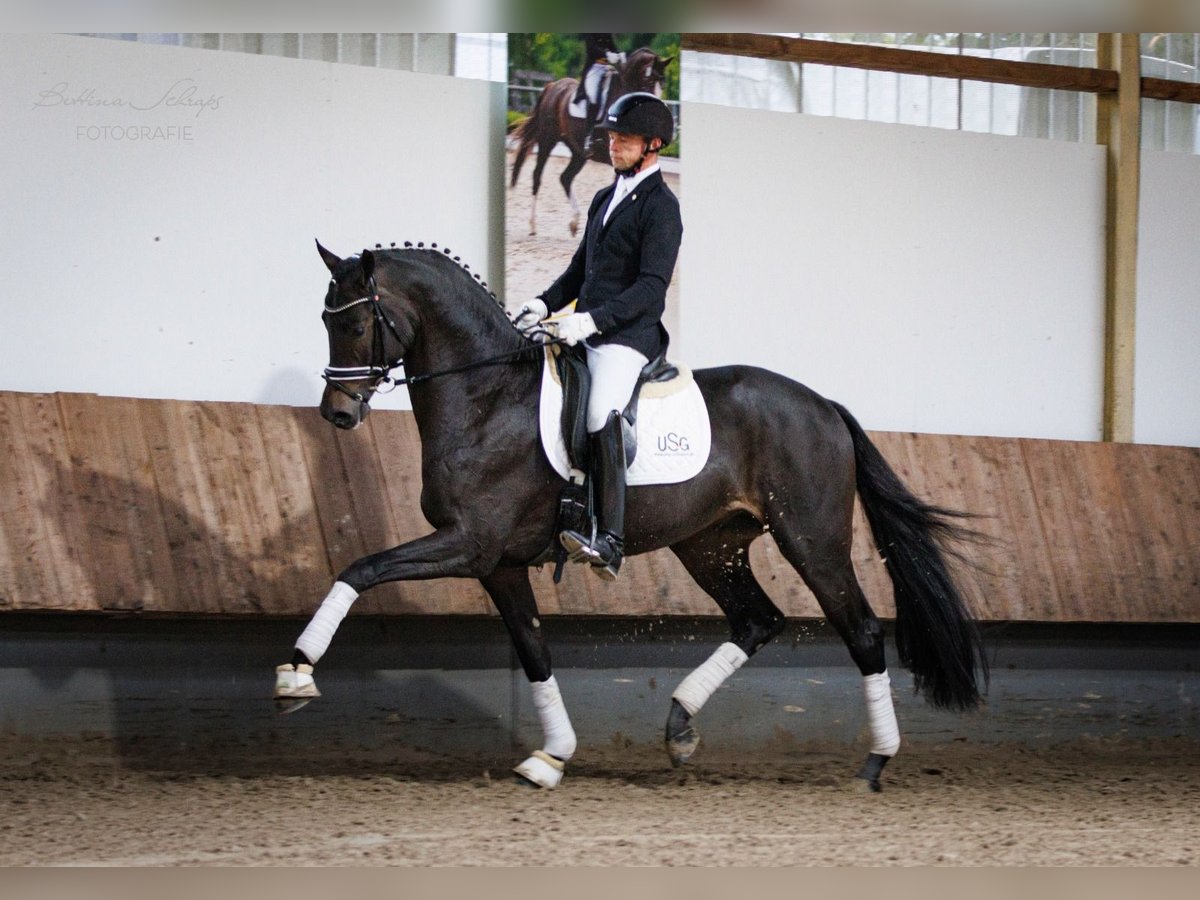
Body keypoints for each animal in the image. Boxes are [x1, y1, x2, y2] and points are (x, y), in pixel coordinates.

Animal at [285, 241, 988, 796]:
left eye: (355, 324)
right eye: (324, 319)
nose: (337, 413)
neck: (487, 397)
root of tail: (823, 406)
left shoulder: (468, 544)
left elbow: (360, 569)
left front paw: (297, 671)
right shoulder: (499, 565)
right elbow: (534, 651)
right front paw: (551, 758)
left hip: (811, 540)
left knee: (862, 631)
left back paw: (875, 762)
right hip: (709, 545)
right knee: (757, 619)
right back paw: (680, 727)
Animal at [508, 46, 676, 237]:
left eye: (662, 83)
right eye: (648, 80)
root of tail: (552, 86)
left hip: (578, 152)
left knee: (565, 177)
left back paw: (574, 223)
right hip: (547, 140)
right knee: (537, 175)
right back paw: (533, 225)